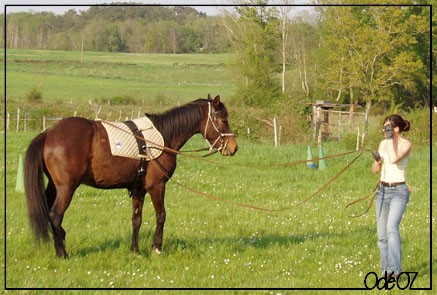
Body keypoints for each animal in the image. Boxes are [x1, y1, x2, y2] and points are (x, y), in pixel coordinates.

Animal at [24, 95, 237, 260]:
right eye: (223, 120)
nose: (234, 147)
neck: (163, 137)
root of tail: (48, 133)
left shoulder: (138, 189)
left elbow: (137, 219)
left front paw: (135, 250)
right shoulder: (157, 186)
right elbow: (161, 215)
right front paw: (157, 248)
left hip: (54, 186)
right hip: (66, 188)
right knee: (55, 216)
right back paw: (63, 254)